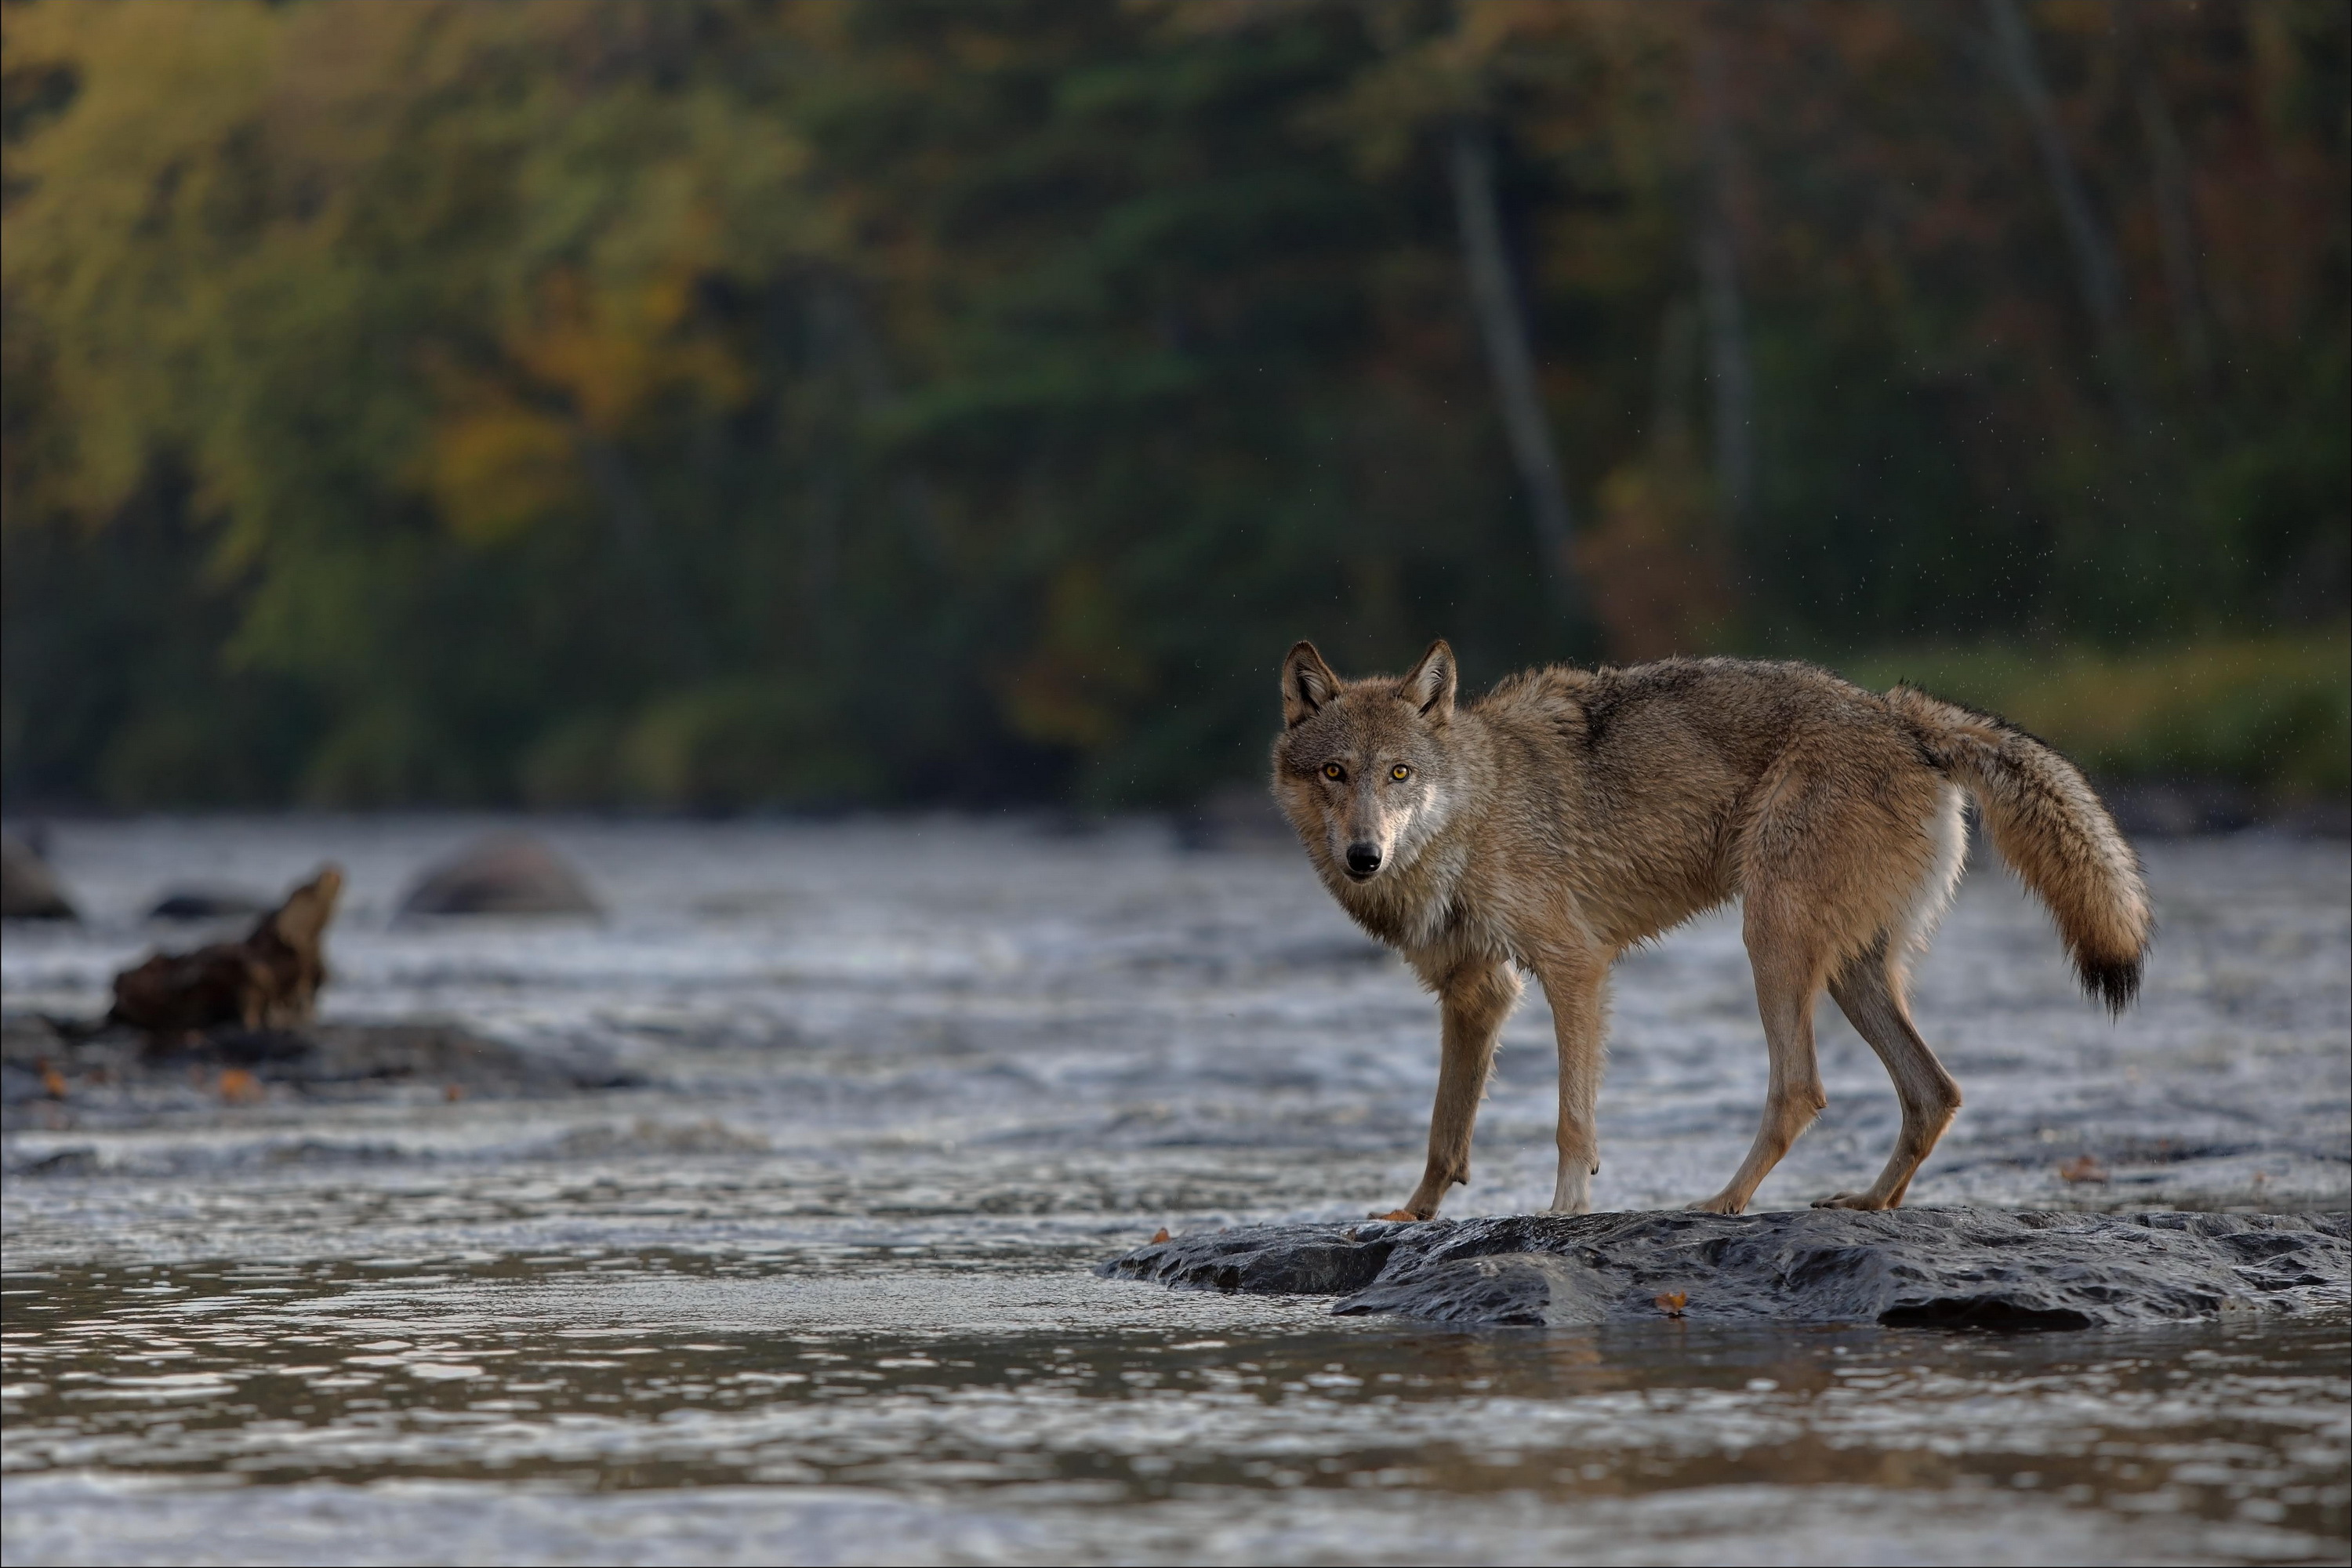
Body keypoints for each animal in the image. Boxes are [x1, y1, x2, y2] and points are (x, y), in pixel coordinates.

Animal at [1270, 644, 2154, 1222]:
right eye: (1335, 772)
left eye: (1400, 774)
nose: (1363, 856)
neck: (1474, 812)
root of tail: (1903, 713)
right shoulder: (1474, 991)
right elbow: (1443, 1133)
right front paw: (1408, 1216)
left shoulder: (1575, 966)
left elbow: (1571, 1119)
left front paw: (1564, 1211)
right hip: (1851, 973)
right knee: (1934, 1092)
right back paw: (1869, 1203)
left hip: (1771, 942)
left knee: (1801, 1089)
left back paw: (1722, 1202)